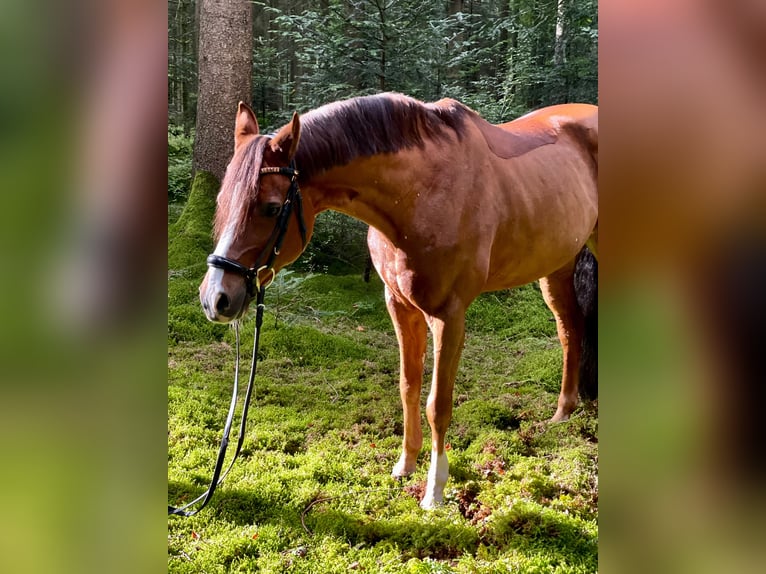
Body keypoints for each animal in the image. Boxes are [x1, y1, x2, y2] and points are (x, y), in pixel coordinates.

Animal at [198, 93, 600, 508]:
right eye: (223, 200)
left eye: (273, 207)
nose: (216, 298)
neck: (419, 195)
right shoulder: (399, 305)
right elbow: (408, 386)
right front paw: (405, 464)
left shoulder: (449, 315)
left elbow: (438, 404)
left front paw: (434, 490)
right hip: (556, 266)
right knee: (570, 330)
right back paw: (562, 413)